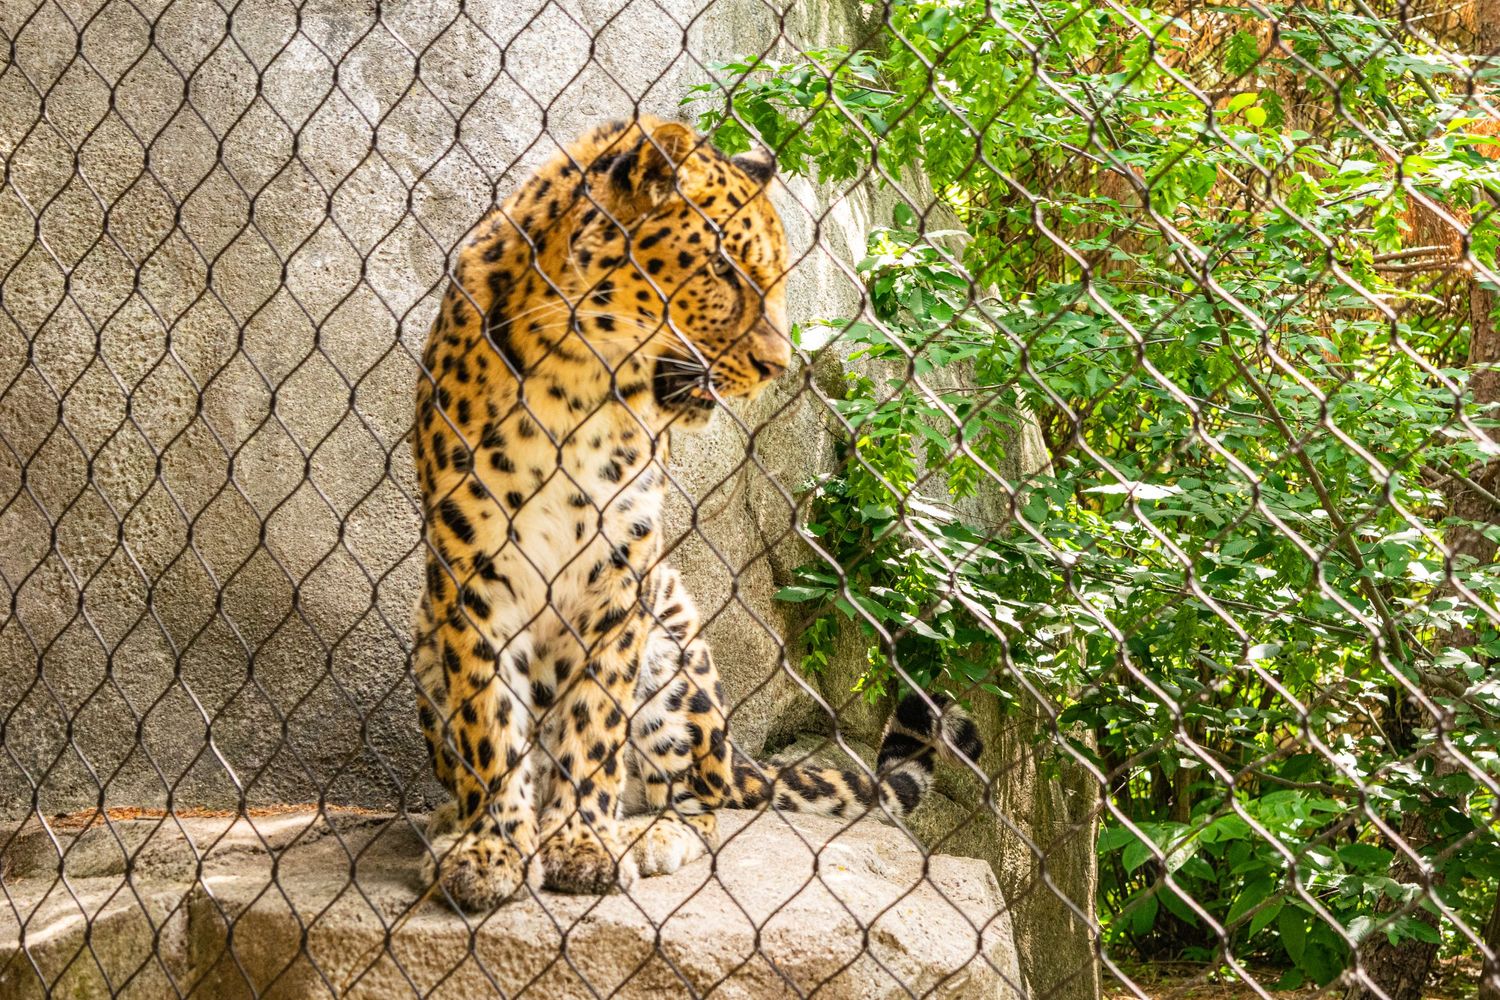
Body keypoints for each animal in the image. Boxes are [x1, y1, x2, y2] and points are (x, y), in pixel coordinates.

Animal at [410, 116, 983, 912]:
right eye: (723, 270)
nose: (779, 366)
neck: (575, 385)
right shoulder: (471, 565)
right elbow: (489, 723)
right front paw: (490, 846)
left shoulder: (621, 571)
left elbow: (593, 722)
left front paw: (583, 845)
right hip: (425, 637)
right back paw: (448, 824)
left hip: (676, 643)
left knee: (700, 800)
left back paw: (650, 833)